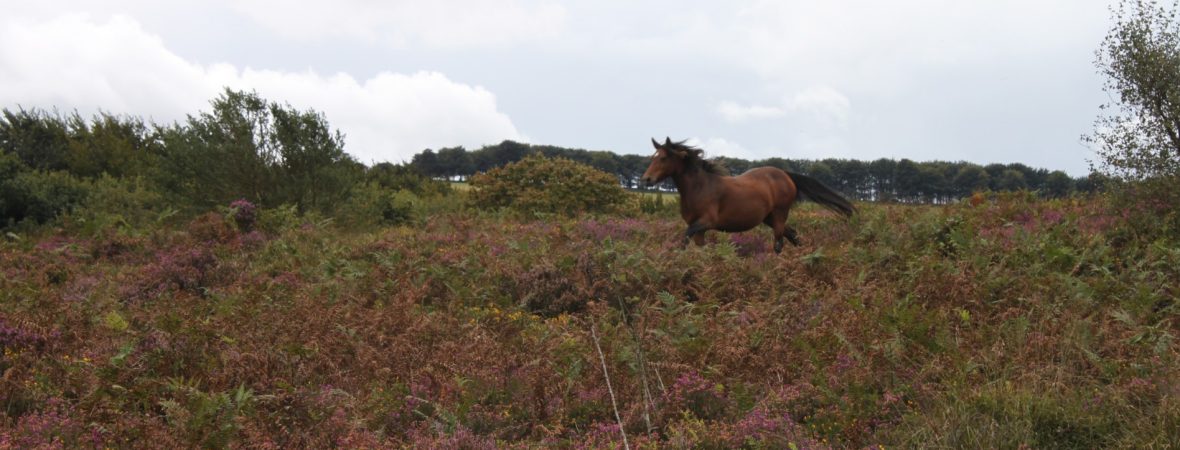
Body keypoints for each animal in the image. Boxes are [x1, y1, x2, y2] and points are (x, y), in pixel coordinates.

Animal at [641, 137, 854, 252]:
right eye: (653, 157)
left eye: (664, 158)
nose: (646, 179)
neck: (699, 187)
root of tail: (785, 174)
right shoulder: (699, 229)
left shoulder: (706, 222)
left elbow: (684, 239)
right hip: (768, 218)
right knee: (793, 234)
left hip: (779, 215)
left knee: (779, 243)